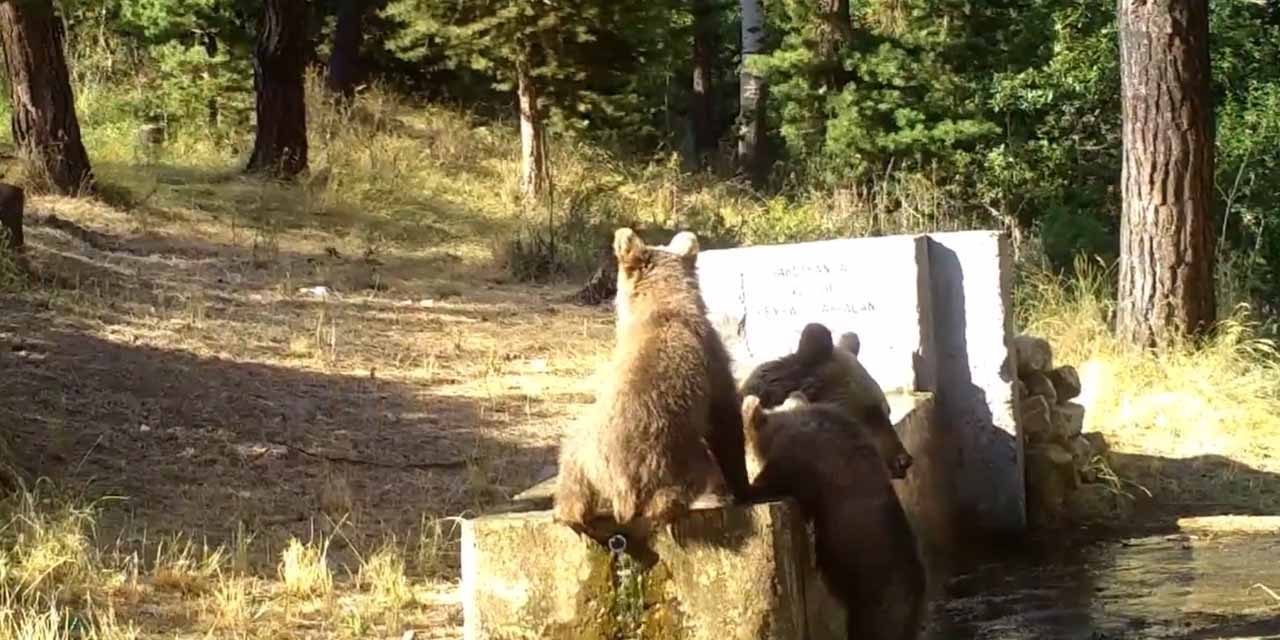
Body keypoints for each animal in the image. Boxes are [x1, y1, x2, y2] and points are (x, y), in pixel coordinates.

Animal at [552, 227, 747, 547]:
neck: (663, 306)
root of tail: (621, 493)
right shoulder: (714, 363)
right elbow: (726, 420)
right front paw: (744, 488)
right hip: (669, 457)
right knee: (681, 487)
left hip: (581, 458)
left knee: (573, 493)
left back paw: (571, 520)